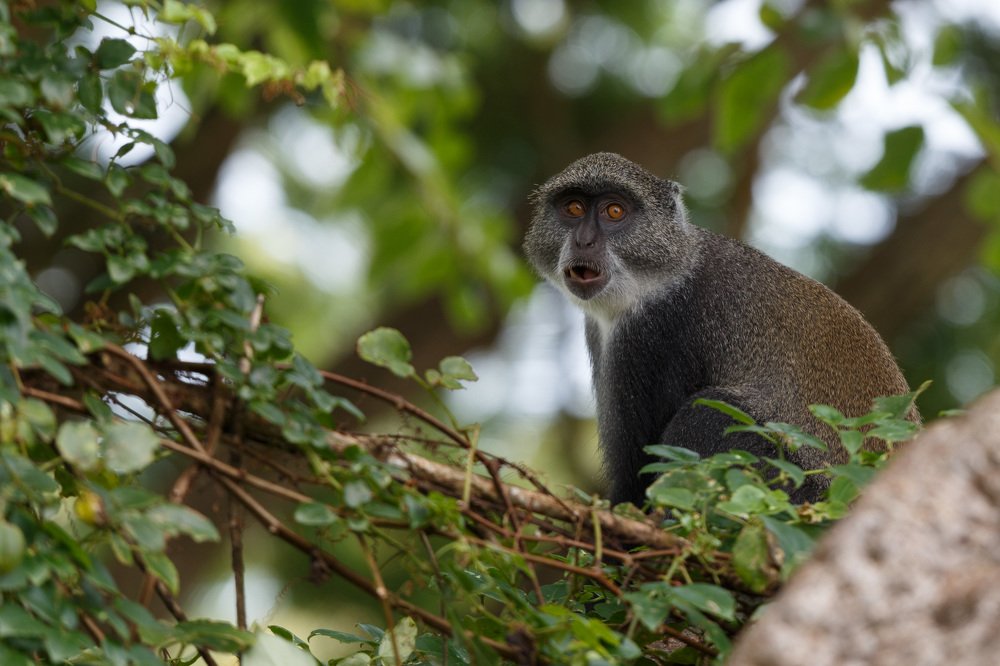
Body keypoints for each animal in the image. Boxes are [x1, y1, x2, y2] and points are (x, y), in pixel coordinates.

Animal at [523, 152, 918, 506]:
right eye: (574, 208)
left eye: (614, 212)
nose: (584, 240)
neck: (671, 269)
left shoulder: (653, 335)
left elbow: (637, 474)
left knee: (708, 413)